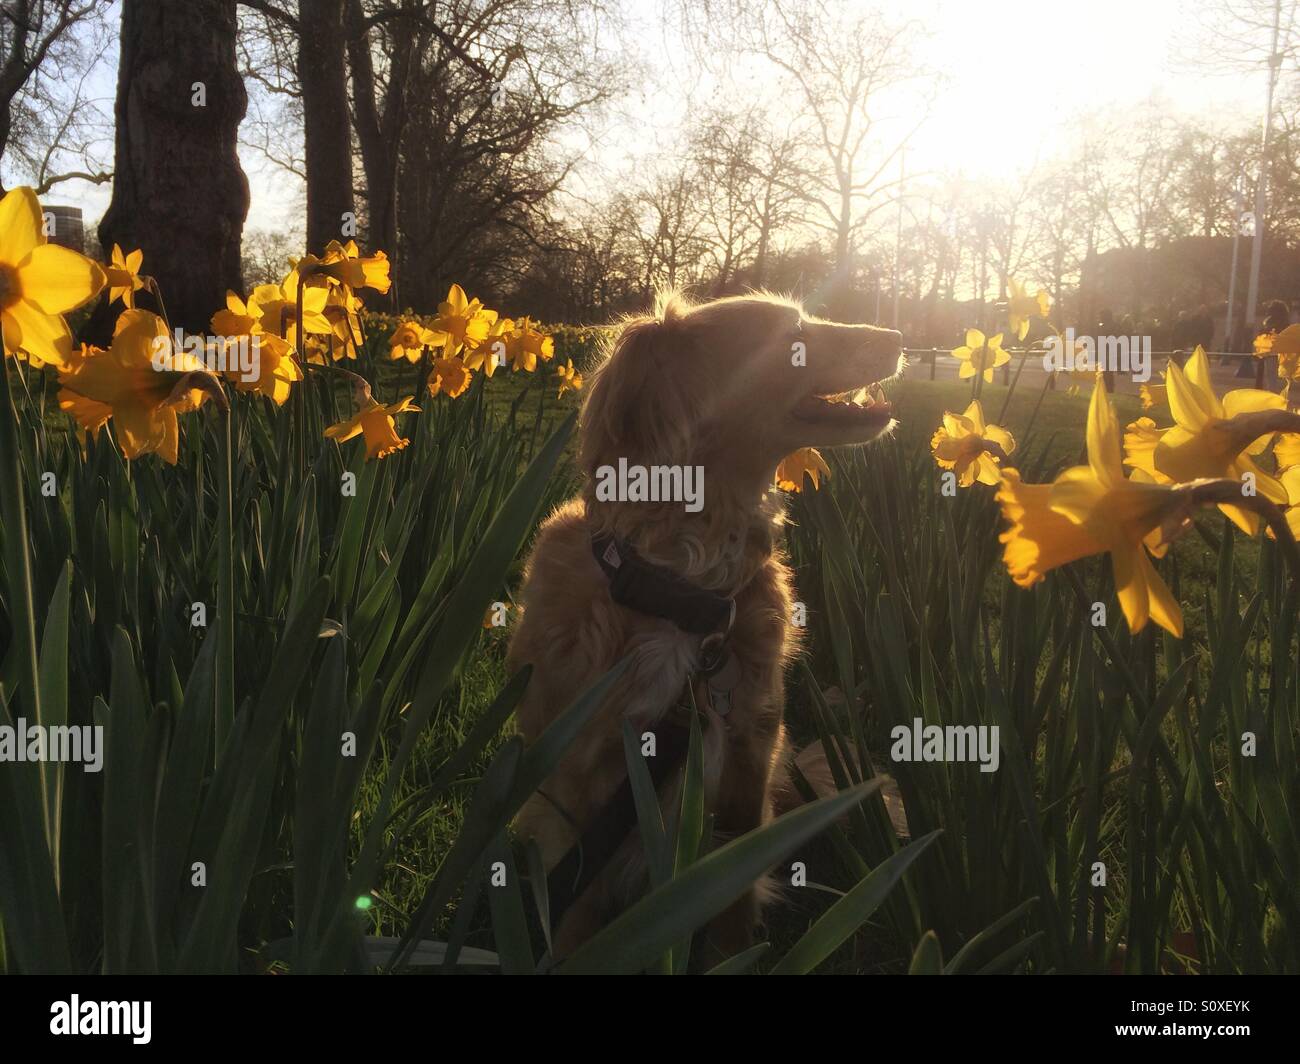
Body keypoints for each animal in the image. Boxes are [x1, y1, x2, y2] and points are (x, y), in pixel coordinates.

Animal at [506, 290, 904, 962]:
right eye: (793, 335)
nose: (901, 336)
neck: (684, 591)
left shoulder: (749, 767)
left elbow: (733, 913)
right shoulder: (579, 789)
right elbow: (575, 924)